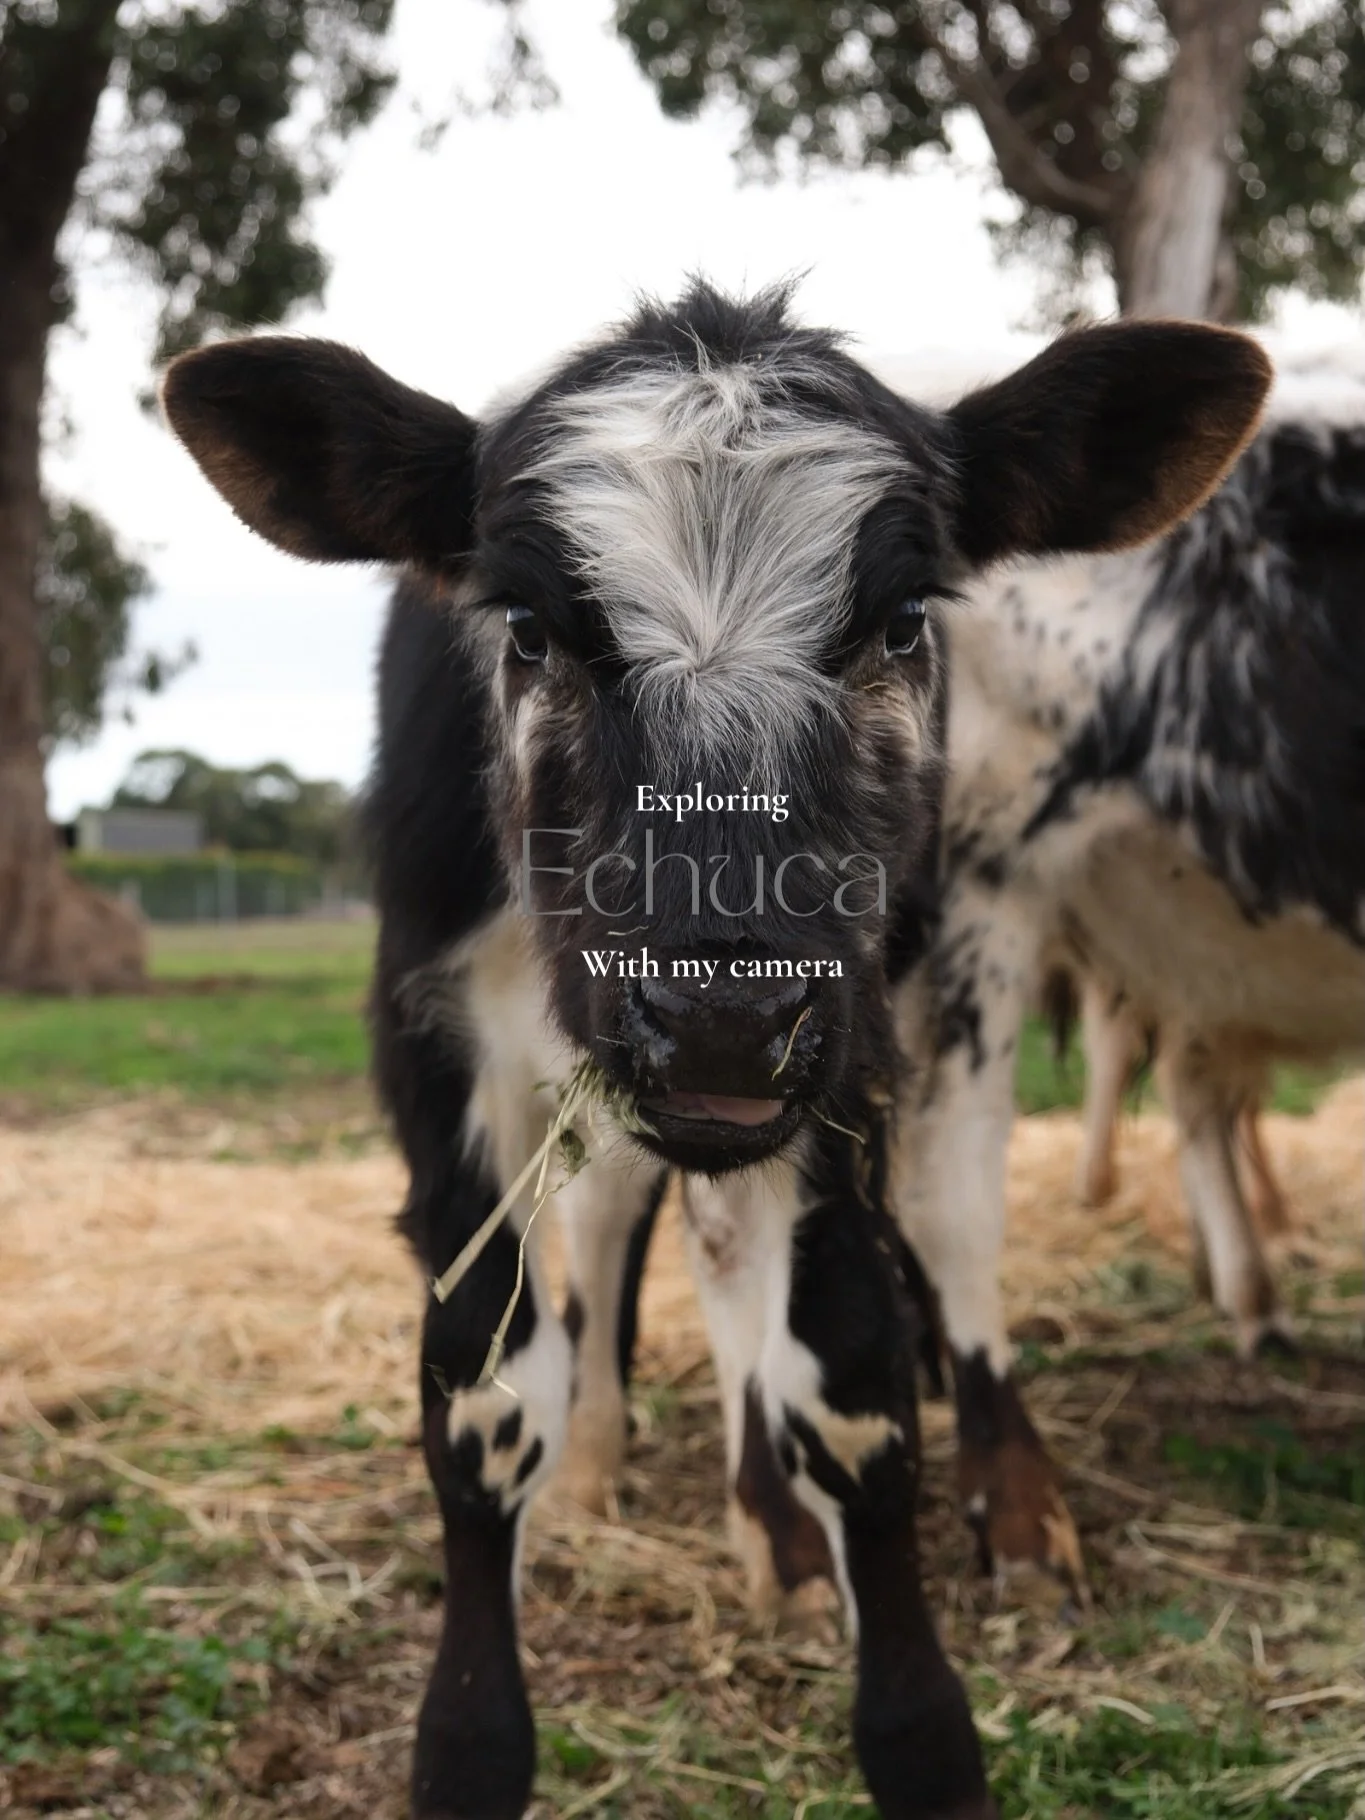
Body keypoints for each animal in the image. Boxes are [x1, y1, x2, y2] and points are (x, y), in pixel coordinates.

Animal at [161, 281, 1268, 1820]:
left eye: (902, 622)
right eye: (528, 632)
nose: (721, 1014)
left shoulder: (852, 1051)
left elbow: (850, 1386)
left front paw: (918, 1728)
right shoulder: (437, 1049)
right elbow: (482, 1395)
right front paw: (470, 1739)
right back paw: (599, 1460)